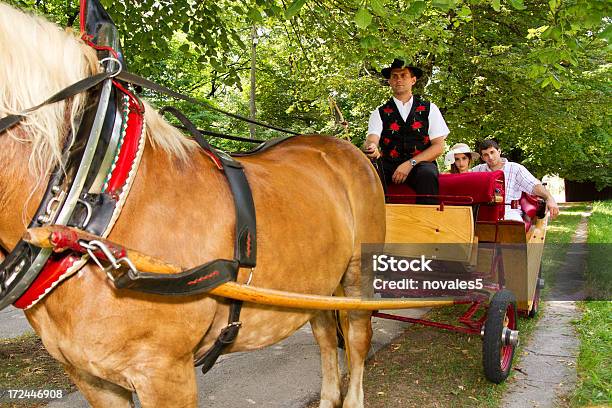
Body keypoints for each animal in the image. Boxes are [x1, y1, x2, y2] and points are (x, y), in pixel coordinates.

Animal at [0, 3, 382, 408]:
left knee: (357, 339)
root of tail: (344, 147)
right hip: (314, 284)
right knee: (325, 336)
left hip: (357, 274)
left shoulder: (164, 372)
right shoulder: (90, 376)